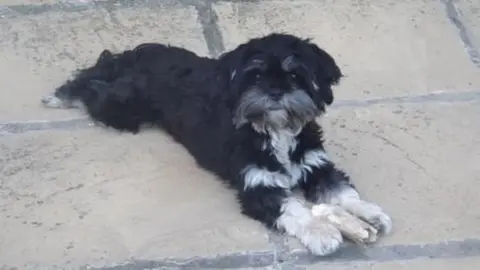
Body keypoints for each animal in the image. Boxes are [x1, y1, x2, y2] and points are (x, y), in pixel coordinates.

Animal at [41, 33, 392, 255]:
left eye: (295, 76)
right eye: (257, 76)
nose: (275, 93)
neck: (274, 131)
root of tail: (135, 55)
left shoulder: (317, 166)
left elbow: (342, 192)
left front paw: (369, 214)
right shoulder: (258, 187)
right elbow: (294, 209)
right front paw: (322, 232)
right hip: (123, 109)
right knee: (92, 86)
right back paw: (61, 96)